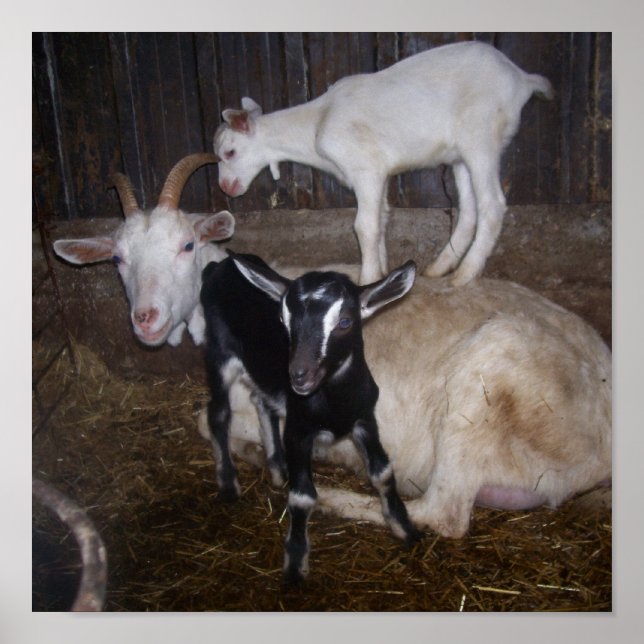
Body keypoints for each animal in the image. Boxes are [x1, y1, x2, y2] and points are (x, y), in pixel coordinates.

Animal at [213, 40, 553, 285]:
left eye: (229, 152)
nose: (226, 188)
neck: (316, 123)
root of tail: (521, 79)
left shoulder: (366, 169)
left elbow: (364, 226)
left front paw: (367, 278)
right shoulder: (381, 175)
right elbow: (382, 219)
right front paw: (383, 272)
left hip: (481, 137)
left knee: (492, 204)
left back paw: (465, 275)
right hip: (460, 156)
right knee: (469, 210)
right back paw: (440, 268)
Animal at [213, 270, 611, 540]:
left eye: (344, 322)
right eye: (284, 321)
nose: (300, 376)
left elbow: (210, 423)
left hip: (485, 387)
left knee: (443, 513)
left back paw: (328, 498)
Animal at [230, 254, 420, 582]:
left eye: (345, 321)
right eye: (283, 321)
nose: (299, 375)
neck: (333, 403)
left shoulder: (365, 419)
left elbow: (383, 472)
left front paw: (404, 528)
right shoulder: (298, 430)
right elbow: (302, 496)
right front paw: (296, 562)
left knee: (260, 401)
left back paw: (276, 470)